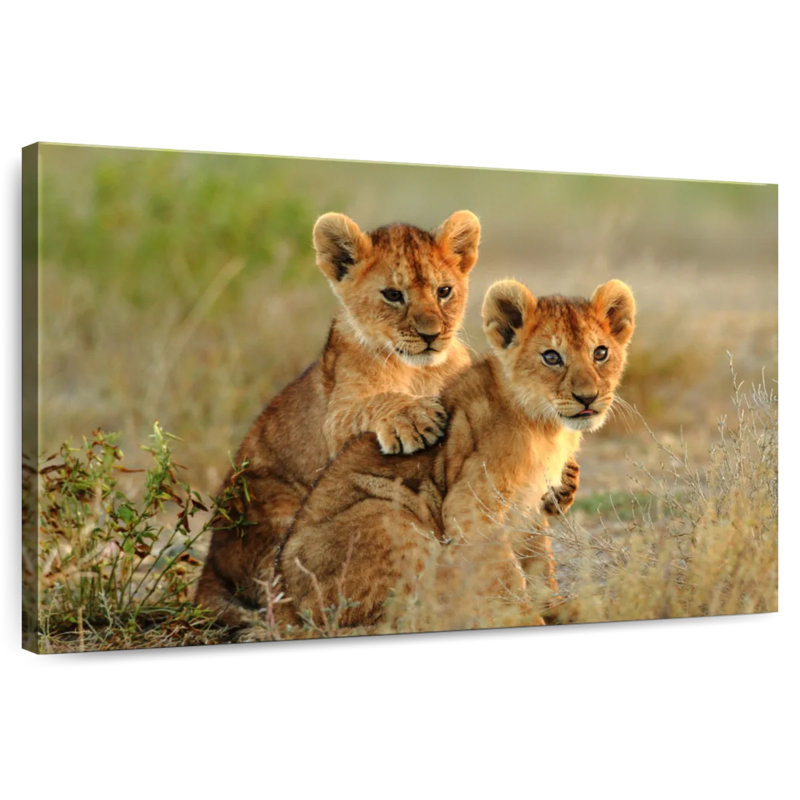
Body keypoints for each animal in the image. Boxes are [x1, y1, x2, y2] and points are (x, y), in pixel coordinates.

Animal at [195, 210, 483, 627]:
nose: (432, 335)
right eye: (393, 295)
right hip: (271, 503)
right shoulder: (336, 418)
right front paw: (412, 416)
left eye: (444, 291)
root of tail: (208, 568)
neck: (419, 371)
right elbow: (373, 404)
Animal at [276, 278, 635, 632]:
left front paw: (555, 607)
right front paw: (524, 617)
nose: (588, 397)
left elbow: (538, 562)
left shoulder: (528, 505)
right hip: (389, 514)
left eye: (600, 353)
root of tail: (287, 601)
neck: (547, 427)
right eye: (551, 357)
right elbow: (504, 571)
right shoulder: (471, 505)